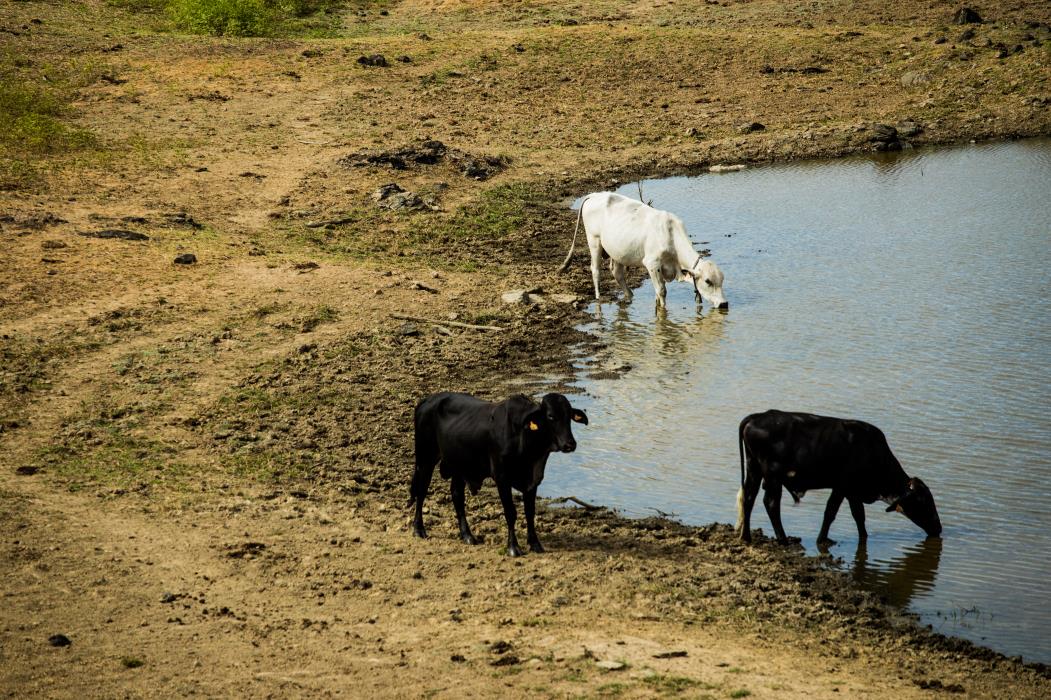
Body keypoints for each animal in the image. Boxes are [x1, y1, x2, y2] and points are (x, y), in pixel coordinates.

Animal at [408, 392, 588, 557]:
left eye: (569, 416)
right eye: (551, 416)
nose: (570, 444)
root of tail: (428, 400)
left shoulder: (532, 481)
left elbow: (530, 513)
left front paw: (535, 544)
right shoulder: (502, 479)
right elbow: (511, 513)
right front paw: (513, 547)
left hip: (459, 466)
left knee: (457, 495)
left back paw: (467, 535)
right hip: (425, 459)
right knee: (421, 491)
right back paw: (419, 529)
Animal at [559, 191, 728, 310]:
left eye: (722, 280)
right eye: (708, 281)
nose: (724, 304)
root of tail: (594, 195)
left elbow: (658, 292)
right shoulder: (652, 263)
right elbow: (661, 291)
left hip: (617, 251)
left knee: (617, 272)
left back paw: (629, 295)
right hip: (594, 240)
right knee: (595, 270)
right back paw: (599, 297)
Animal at [736, 410, 942, 545]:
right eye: (924, 502)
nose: (938, 528)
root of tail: (756, 416)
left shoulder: (853, 492)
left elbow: (858, 515)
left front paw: (864, 536)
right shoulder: (843, 487)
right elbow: (831, 512)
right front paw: (822, 539)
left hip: (754, 469)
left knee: (749, 497)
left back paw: (746, 536)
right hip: (772, 477)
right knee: (770, 503)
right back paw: (783, 539)